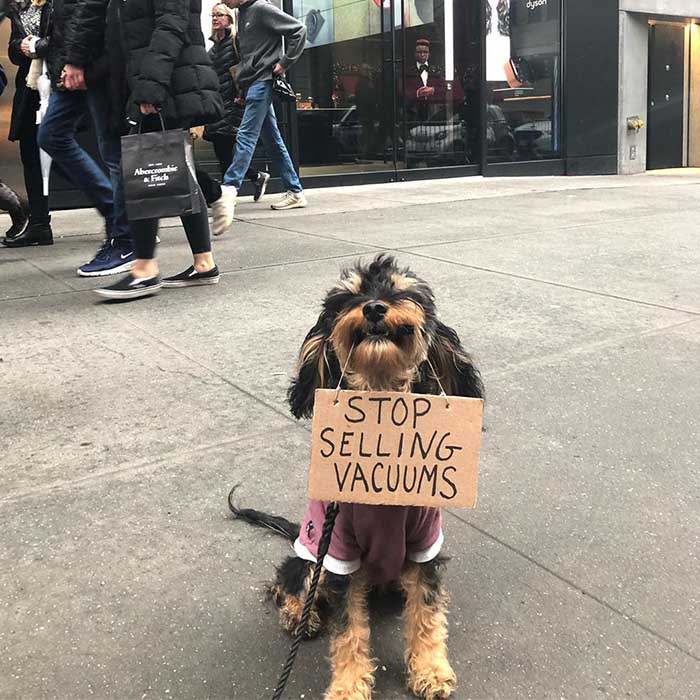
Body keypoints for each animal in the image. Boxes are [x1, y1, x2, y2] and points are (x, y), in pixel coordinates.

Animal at [232, 258, 484, 700]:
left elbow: (427, 611)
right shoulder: (338, 555)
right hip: (312, 551)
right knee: (288, 580)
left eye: (401, 290)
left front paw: (431, 669)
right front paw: (348, 687)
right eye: (347, 296)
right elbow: (348, 630)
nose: (375, 308)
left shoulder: (425, 545)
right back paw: (300, 615)